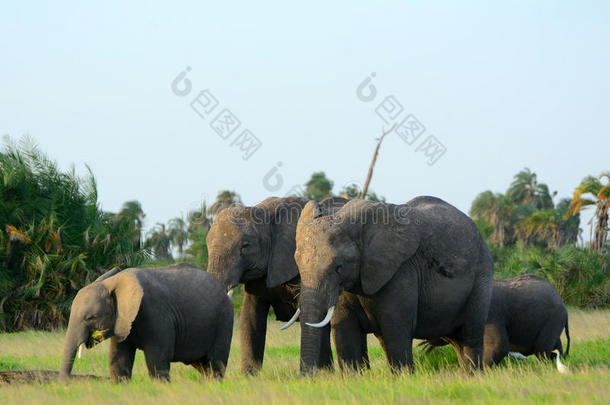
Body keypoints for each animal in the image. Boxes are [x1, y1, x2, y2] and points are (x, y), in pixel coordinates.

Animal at [60, 264, 233, 380]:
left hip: (224, 319)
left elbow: (157, 359)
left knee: (216, 363)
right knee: (203, 366)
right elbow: (119, 360)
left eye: (91, 318)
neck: (114, 282)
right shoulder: (121, 321)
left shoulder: (156, 314)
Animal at [294, 196, 494, 372]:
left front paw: (403, 377)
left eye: (339, 267)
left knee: (470, 338)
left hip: (481, 277)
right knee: (456, 342)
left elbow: (396, 330)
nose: (308, 379)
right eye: (297, 262)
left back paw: (473, 376)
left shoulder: (401, 271)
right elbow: (345, 333)